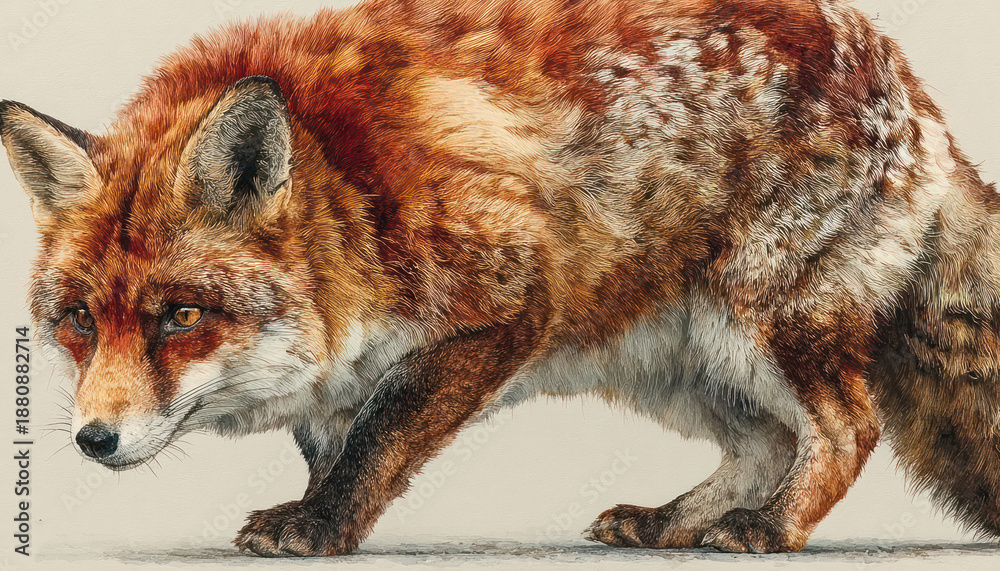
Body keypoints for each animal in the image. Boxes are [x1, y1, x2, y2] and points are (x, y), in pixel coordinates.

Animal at [1, 0, 999, 557]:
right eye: (79, 320)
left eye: (179, 315)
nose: (92, 438)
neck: (357, 198)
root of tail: (919, 98)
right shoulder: (340, 376)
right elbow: (332, 445)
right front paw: (318, 509)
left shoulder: (506, 305)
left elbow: (379, 438)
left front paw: (323, 529)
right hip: (677, 360)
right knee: (765, 442)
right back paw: (672, 522)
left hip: (762, 326)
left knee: (846, 428)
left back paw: (773, 529)